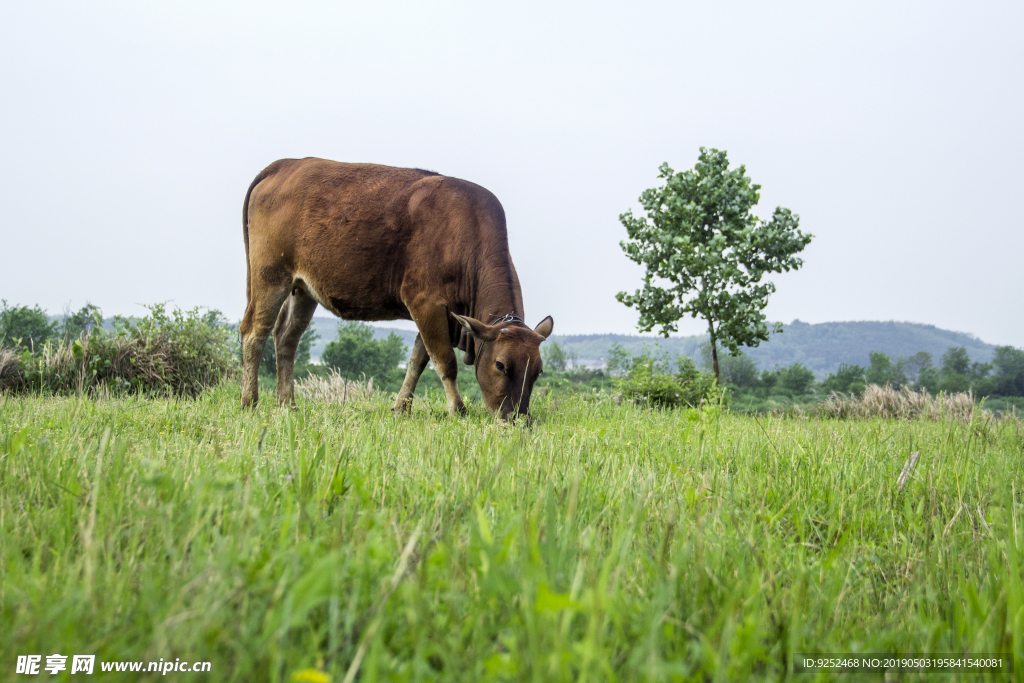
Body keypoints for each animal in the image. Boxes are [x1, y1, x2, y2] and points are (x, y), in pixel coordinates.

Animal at [240, 158, 557, 419]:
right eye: (501, 365)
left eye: (538, 370)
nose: (516, 418)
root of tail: (285, 164)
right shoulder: (425, 302)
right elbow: (445, 361)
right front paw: (457, 410)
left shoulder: (439, 314)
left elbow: (418, 359)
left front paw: (402, 407)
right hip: (269, 275)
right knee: (254, 332)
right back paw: (250, 402)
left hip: (304, 288)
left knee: (286, 337)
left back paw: (287, 404)